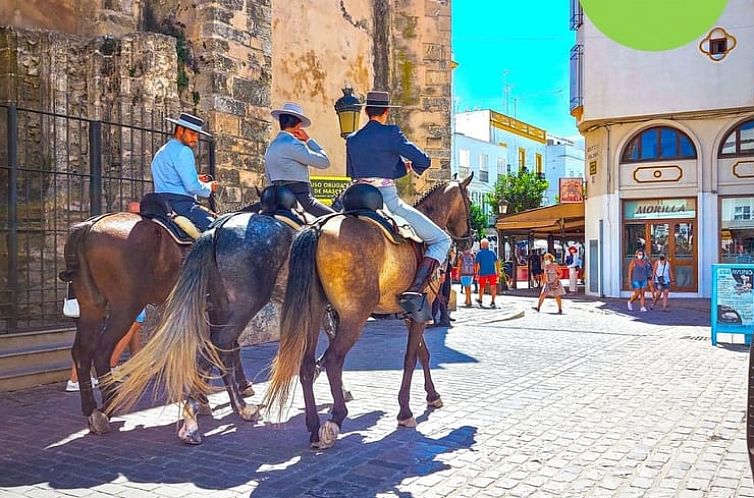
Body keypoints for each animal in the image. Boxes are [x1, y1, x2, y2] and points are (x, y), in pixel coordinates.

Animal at [262, 174, 470, 448]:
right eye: (469, 202)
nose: (469, 239)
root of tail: (318, 228)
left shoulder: (412, 314)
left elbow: (423, 354)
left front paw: (432, 395)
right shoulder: (420, 313)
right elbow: (411, 358)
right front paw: (405, 411)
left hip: (314, 312)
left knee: (307, 365)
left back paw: (314, 427)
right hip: (354, 316)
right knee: (332, 360)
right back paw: (335, 419)